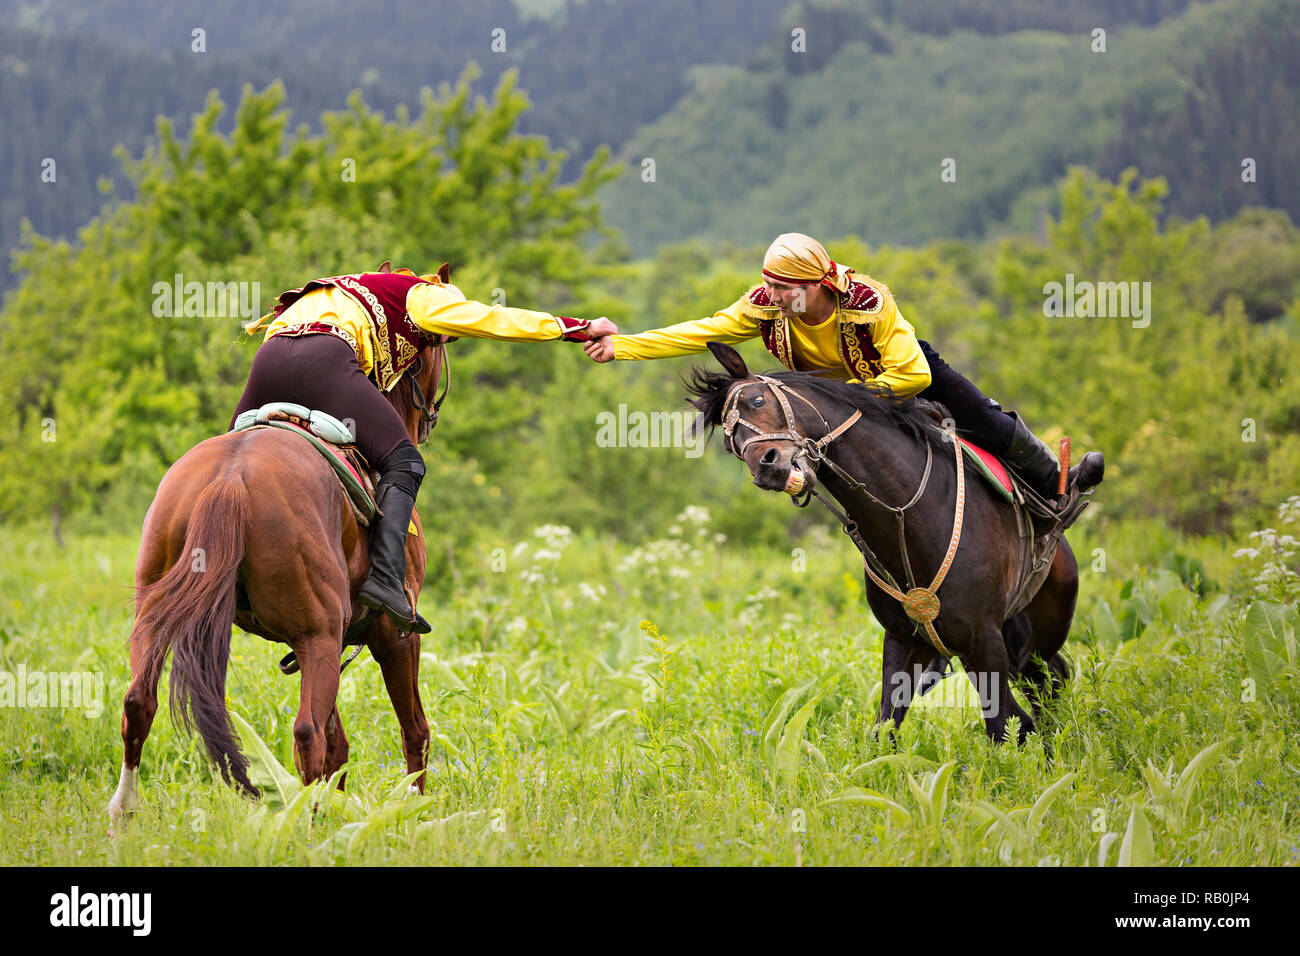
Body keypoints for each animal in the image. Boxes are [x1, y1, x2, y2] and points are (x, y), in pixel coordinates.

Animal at [107, 339, 447, 820]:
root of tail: (231, 477)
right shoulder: (392, 637)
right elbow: (413, 730)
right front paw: (414, 810)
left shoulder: (329, 642)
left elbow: (341, 746)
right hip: (319, 636)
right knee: (309, 734)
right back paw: (308, 823)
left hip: (157, 618)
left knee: (138, 702)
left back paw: (124, 813)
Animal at [687, 342, 1080, 744]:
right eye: (730, 443)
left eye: (757, 399)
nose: (767, 467)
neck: (907, 514)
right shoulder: (906, 641)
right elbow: (885, 732)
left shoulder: (984, 641)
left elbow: (1003, 729)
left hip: (1040, 634)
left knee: (1048, 687)